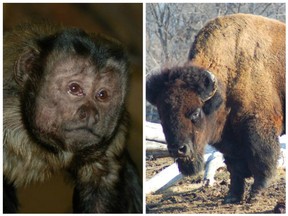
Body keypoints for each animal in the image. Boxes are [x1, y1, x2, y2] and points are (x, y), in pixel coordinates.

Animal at [147, 13, 284, 204]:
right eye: (161, 114)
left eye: (195, 112)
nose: (178, 150)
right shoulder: (229, 138)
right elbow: (235, 167)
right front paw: (232, 196)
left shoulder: (258, 126)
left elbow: (261, 161)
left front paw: (255, 194)